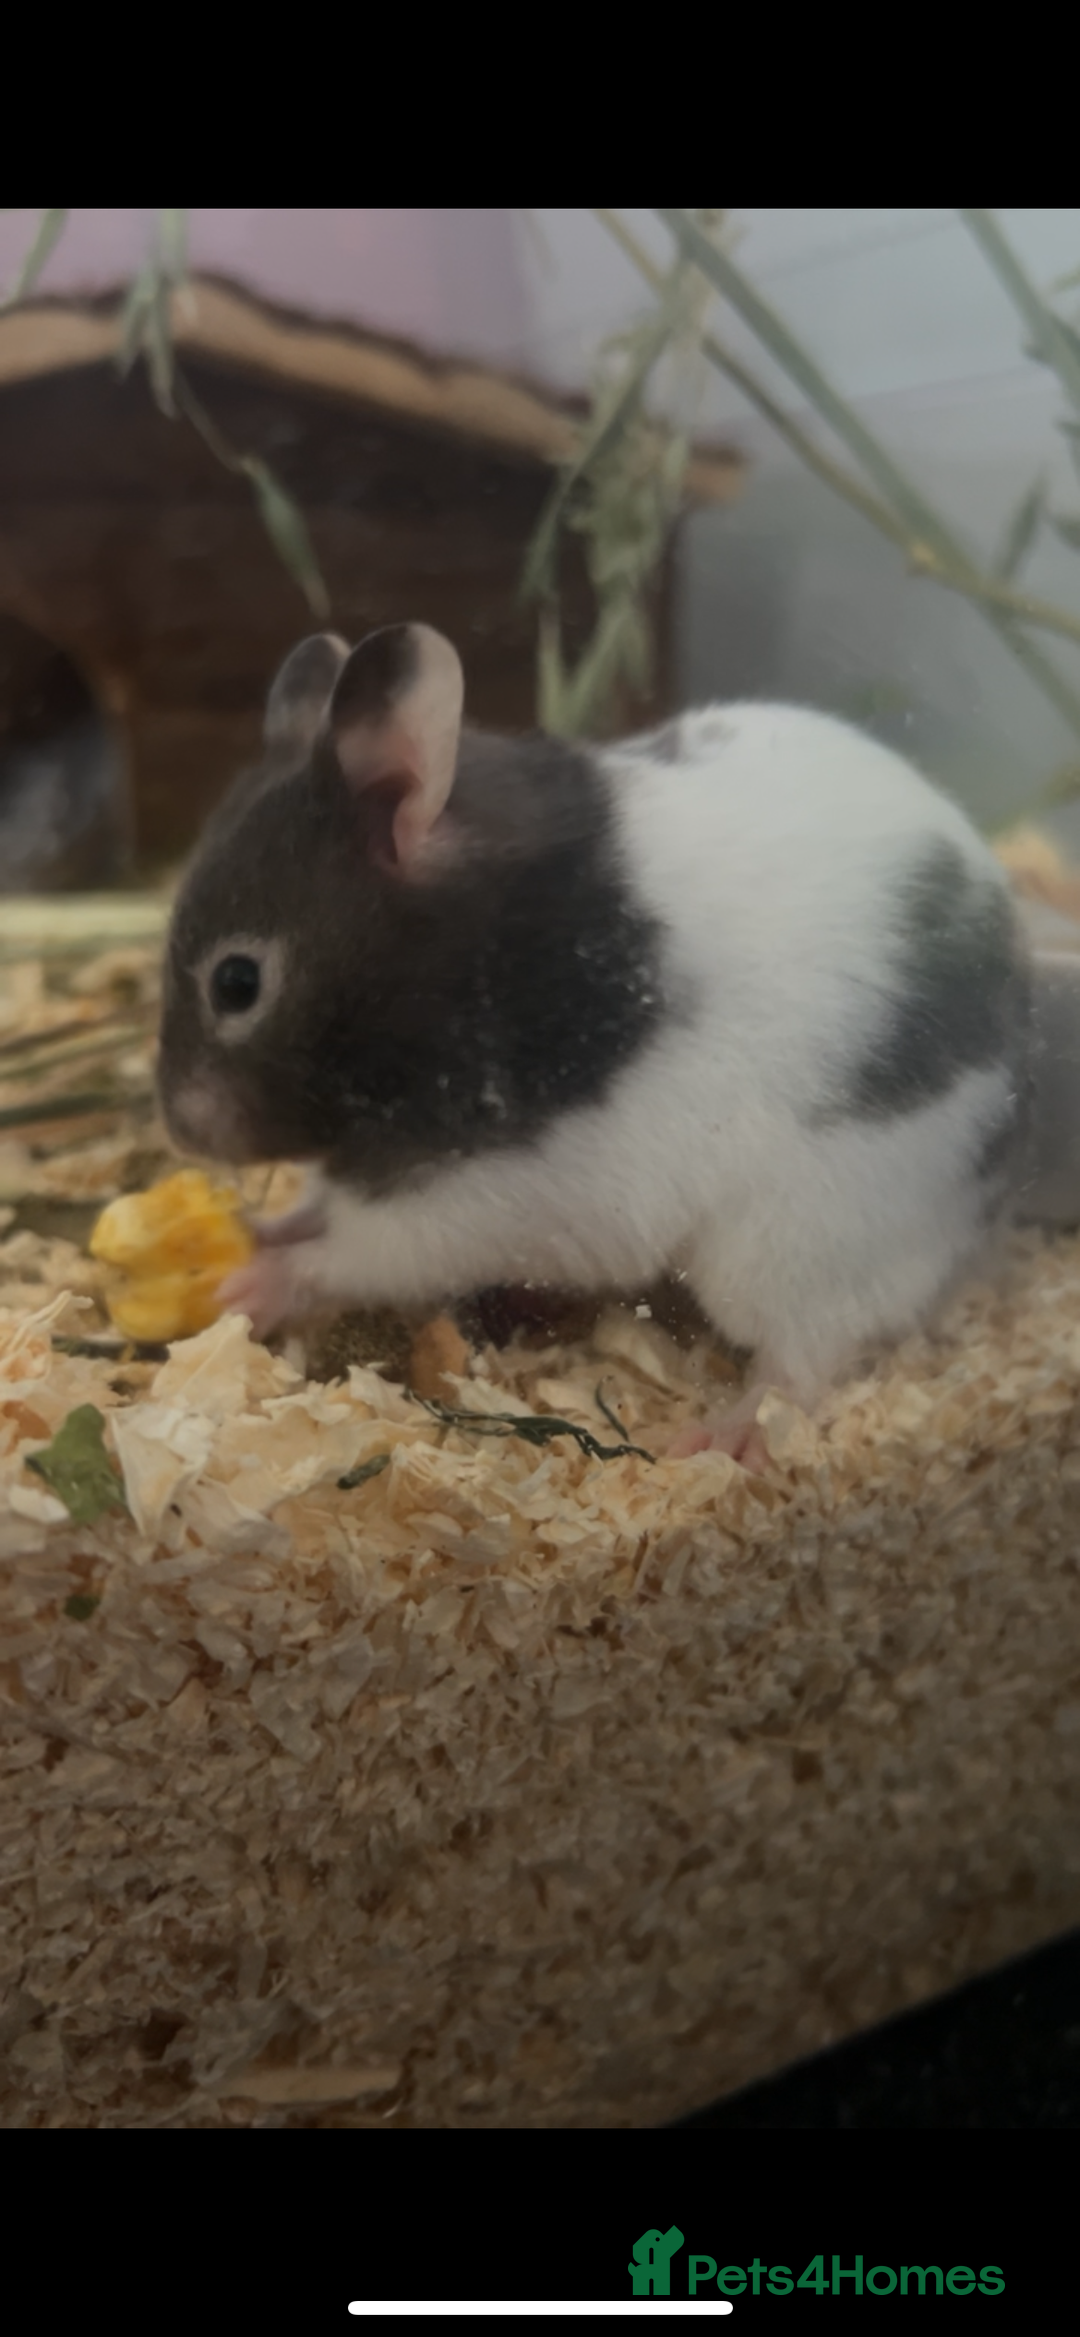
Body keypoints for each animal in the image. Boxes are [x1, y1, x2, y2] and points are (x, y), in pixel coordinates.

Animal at [157, 622, 1035, 1458]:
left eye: (237, 983)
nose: (180, 1129)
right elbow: (317, 1206)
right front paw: (257, 1231)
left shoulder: (496, 1192)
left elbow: (358, 1252)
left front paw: (246, 1287)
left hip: (805, 1239)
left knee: (806, 1354)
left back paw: (722, 1439)